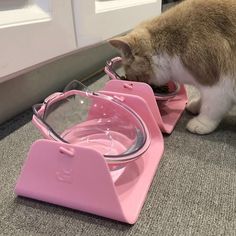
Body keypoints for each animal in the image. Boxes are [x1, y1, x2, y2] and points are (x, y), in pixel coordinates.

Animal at [109, 0, 236, 135]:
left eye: (132, 76)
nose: (128, 79)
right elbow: (203, 99)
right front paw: (196, 105)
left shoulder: (219, 85)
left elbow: (211, 108)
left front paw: (201, 123)